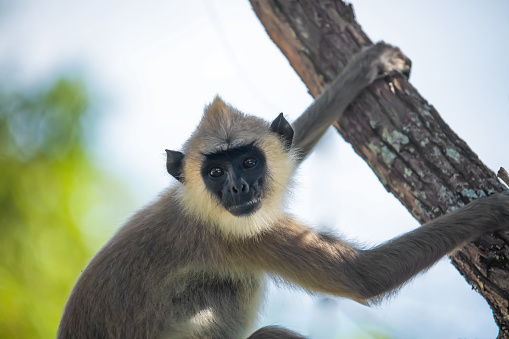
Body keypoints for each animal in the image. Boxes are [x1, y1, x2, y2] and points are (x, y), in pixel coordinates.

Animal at [56, 42, 508, 339]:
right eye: (216, 172)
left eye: (248, 162)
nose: (238, 186)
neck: (198, 208)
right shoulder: (239, 237)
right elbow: (363, 276)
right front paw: (495, 209)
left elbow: (294, 142)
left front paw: (364, 69)